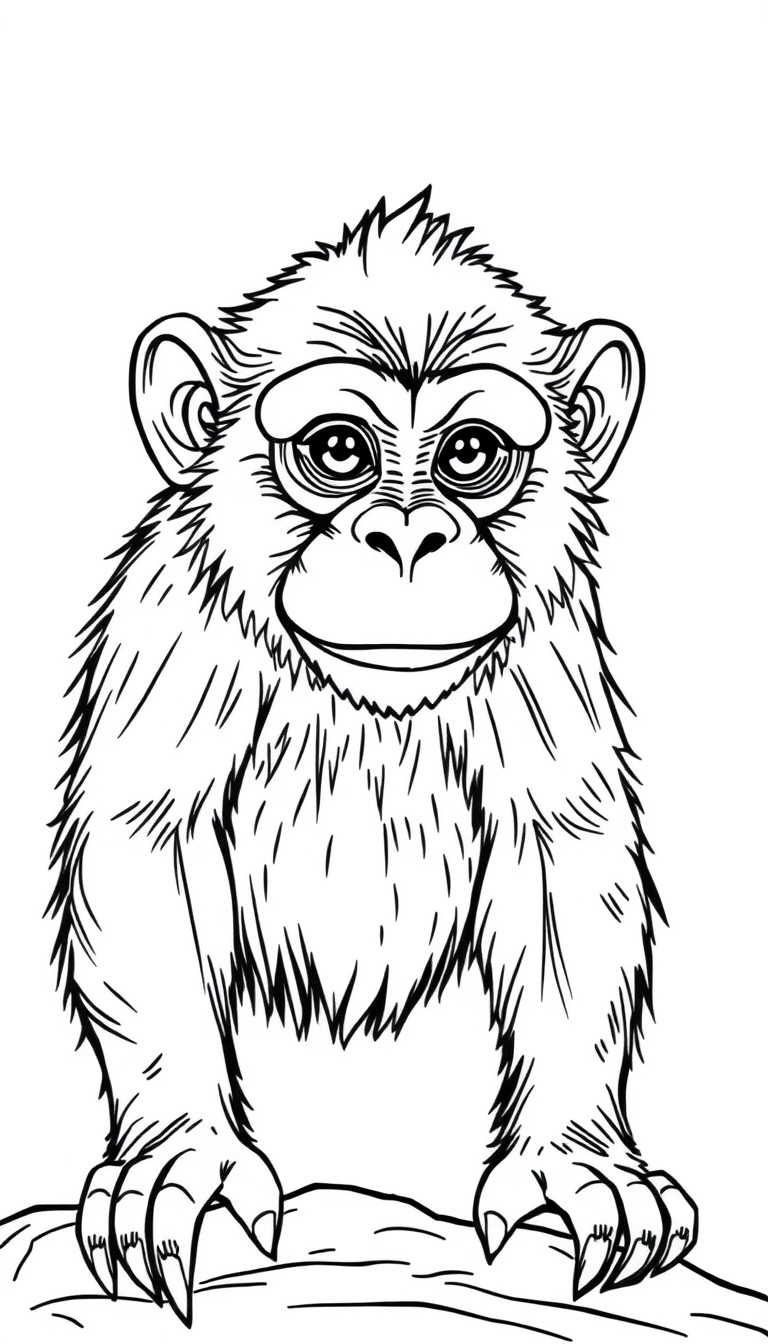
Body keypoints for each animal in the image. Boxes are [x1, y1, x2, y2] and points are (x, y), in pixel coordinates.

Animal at [49, 190, 697, 1325]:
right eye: (340, 451)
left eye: (471, 454)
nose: (405, 539)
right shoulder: (171, 621)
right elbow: (148, 847)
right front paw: (181, 1158)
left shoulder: (550, 650)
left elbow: (562, 861)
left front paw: (575, 1158)